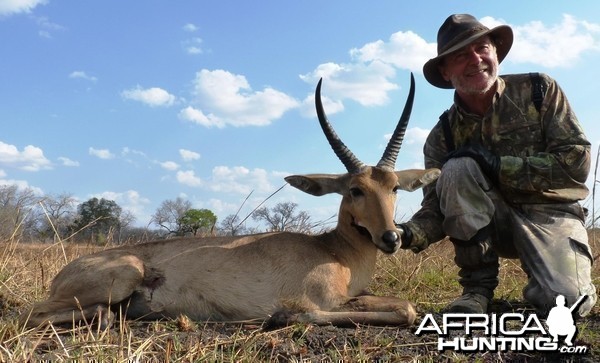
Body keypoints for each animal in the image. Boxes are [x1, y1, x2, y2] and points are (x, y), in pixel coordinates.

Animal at [21, 74, 438, 330]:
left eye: (394, 187)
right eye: (355, 189)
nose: (391, 238)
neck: (335, 251)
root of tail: (64, 272)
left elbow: (402, 305)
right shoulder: (326, 301)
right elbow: (405, 307)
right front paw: (282, 317)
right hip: (122, 275)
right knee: (34, 313)